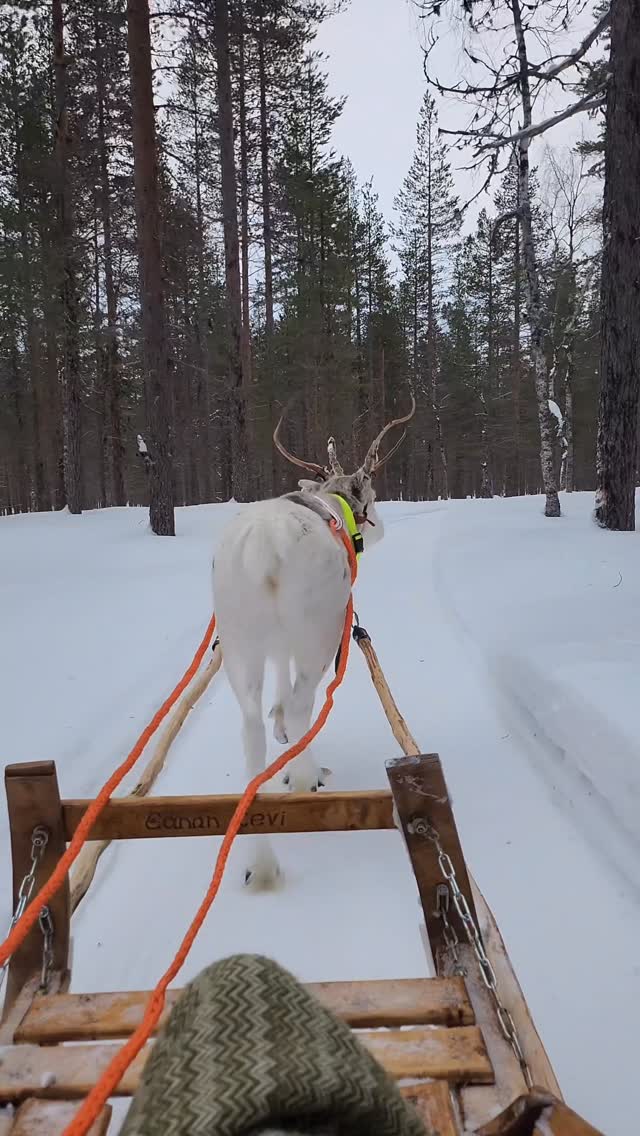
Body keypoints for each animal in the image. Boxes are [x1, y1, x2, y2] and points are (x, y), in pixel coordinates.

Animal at [212, 397, 415, 888]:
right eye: (371, 497)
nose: (381, 527)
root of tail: (263, 547)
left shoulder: (278, 645)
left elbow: (279, 695)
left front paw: (280, 730)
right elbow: (294, 702)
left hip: (239, 642)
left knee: (251, 727)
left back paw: (262, 864)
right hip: (318, 631)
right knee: (307, 704)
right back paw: (306, 780)